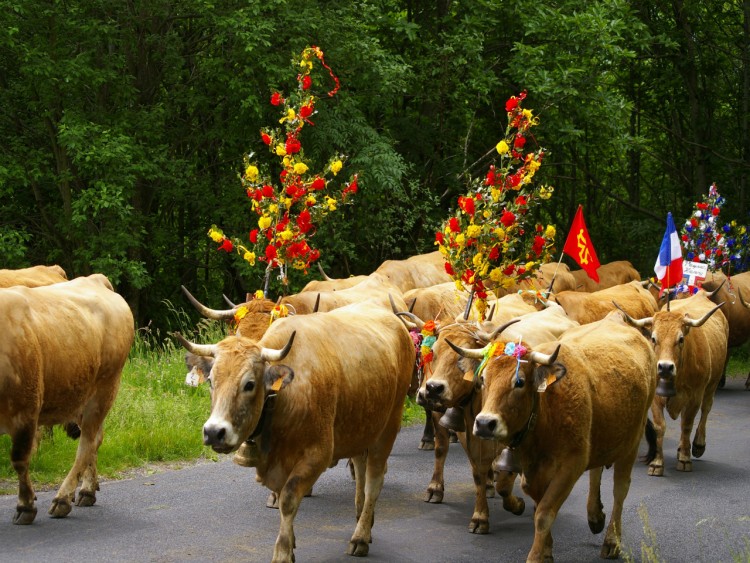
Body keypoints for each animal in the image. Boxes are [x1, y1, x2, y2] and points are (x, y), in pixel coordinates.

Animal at [0, 276, 134, 528]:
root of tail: (95, 279)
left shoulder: (26, 412)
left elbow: (20, 459)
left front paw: (25, 506)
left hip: (104, 389)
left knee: (88, 442)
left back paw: (64, 498)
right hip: (80, 394)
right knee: (95, 439)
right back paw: (86, 490)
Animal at [175, 302, 418, 560]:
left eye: (249, 384)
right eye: (211, 381)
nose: (214, 432)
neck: (284, 399)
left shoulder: (317, 455)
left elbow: (288, 500)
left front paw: (282, 552)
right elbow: (281, 497)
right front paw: (290, 545)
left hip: (389, 426)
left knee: (374, 480)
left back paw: (360, 537)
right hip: (362, 426)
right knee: (361, 468)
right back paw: (363, 518)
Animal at [408, 304, 580, 532]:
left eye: (461, 358)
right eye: (433, 351)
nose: (433, 388)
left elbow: (506, 483)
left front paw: (516, 504)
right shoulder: (465, 431)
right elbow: (467, 466)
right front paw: (477, 513)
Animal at [452, 312, 656, 563]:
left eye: (519, 382)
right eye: (482, 379)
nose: (484, 423)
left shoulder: (571, 465)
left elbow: (544, 513)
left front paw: (536, 556)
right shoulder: (532, 472)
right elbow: (539, 504)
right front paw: (547, 550)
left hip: (632, 443)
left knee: (620, 490)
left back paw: (611, 540)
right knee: (597, 471)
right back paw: (595, 516)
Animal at [620, 290, 732, 476]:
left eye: (680, 339)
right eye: (653, 338)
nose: (665, 367)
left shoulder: (695, 396)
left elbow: (686, 425)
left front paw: (685, 459)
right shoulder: (655, 398)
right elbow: (660, 427)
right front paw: (657, 463)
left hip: (713, 383)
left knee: (706, 409)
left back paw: (698, 445)